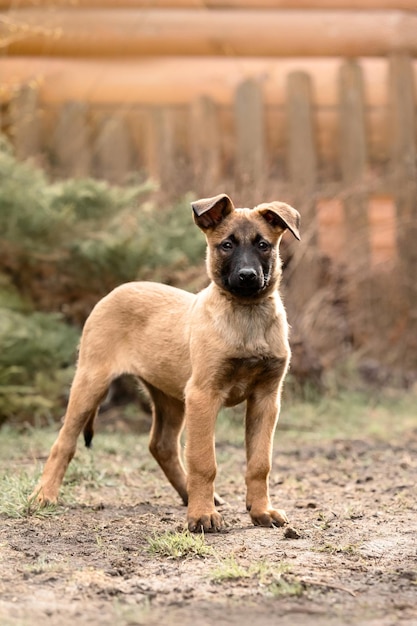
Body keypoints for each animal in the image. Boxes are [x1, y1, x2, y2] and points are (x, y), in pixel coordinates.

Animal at [33, 193, 300, 528]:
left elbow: (259, 463)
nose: (247, 277)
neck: (246, 313)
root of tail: (116, 290)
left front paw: (261, 510)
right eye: (226, 245)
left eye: (263, 244)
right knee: (64, 442)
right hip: (91, 381)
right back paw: (44, 496)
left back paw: (189, 494)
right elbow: (203, 460)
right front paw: (202, 516)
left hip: (170, 397)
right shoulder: (203, 395)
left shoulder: (266, 398)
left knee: (161, 445)